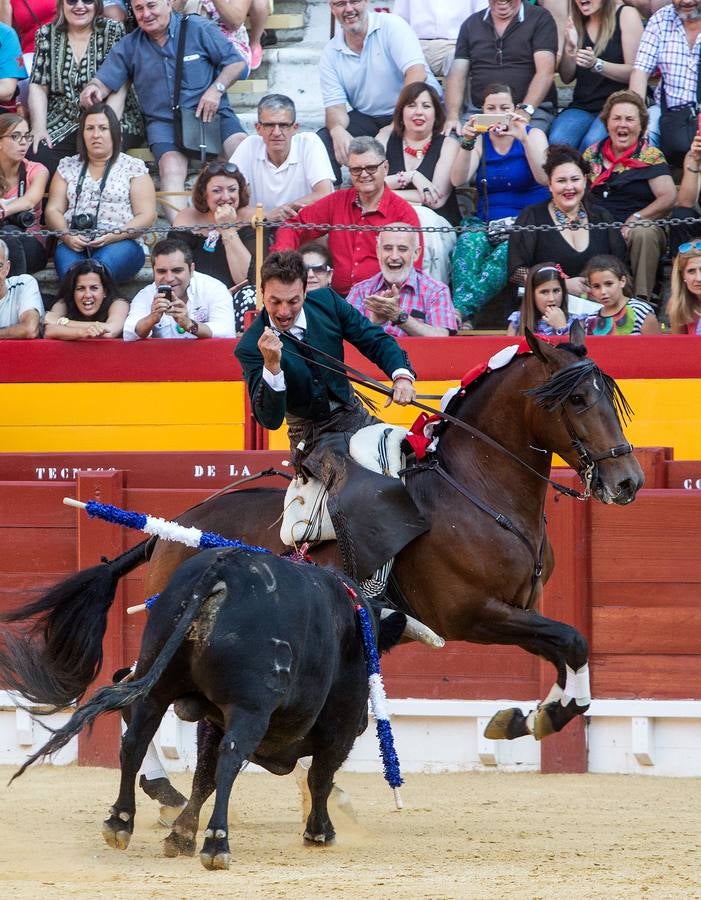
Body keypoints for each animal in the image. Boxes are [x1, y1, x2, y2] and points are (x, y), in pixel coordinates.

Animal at [0, 326, 644, 748]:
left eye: (609, 397)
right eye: (577, 399)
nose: (629, 481)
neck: (476, 489)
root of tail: (170, 531)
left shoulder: (520, 609)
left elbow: (568, 652)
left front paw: (530, 717)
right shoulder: (473, 615)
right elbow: (574, 641)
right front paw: (531, 719)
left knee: (134, 689)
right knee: (132, 691)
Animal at [16, 544, 404, 868]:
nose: (365, 722)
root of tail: (221, 570)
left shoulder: (213, 719)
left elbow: (203, 776)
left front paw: (180, 835)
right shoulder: (339, 725)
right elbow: (319, 777)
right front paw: (319, 832)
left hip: (156, 686)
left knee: (135, 743)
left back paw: (119, 822)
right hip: (249, 709)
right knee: (231, 759)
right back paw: (217, 844)